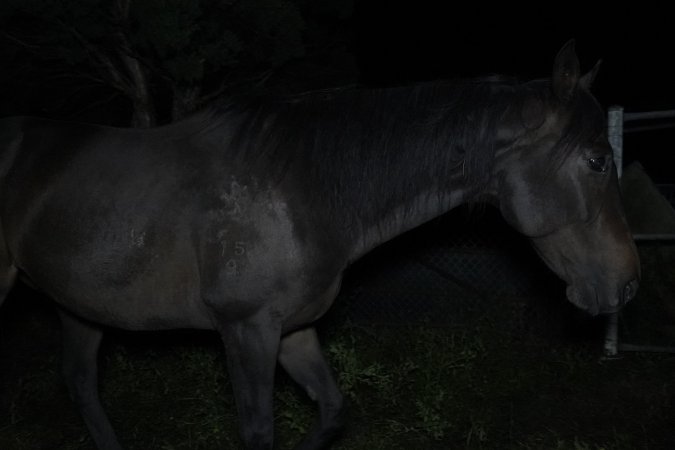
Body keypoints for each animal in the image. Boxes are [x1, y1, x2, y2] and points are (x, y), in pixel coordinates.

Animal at [0, 40, 640, 448]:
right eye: (597, 160)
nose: (628, 282)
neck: (299, 190)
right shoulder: (247, 329)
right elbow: (259, 432)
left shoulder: (294, 330)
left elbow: (333, 413)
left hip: (80, 304)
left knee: (82, 387)